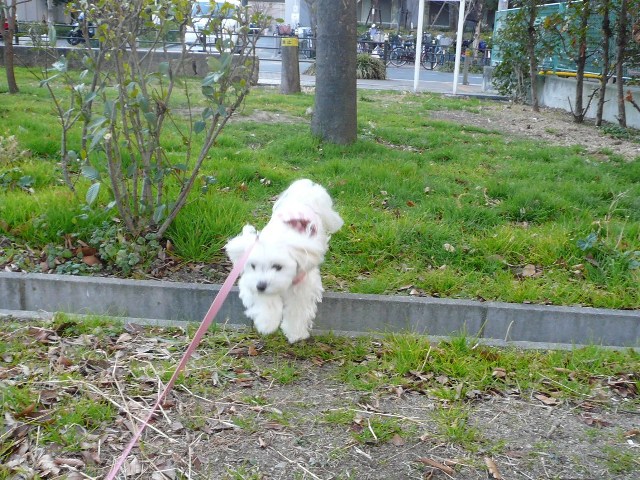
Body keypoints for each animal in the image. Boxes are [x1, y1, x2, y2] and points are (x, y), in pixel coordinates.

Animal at [225, 179, 343, 343]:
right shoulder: (251, 281)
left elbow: (297, 308)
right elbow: (266, 300)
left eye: (278, 267)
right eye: (253, 266)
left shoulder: (303, 283)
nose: (261, 286)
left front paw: (296, 332)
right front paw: (267, 322)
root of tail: (304, 196)